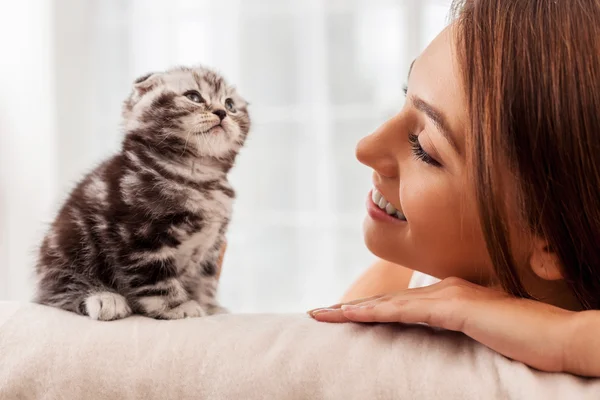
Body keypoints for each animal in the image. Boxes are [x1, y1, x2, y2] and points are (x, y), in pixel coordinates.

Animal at [34, 66, 250, 322]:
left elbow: (204, 280)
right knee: (56, 294)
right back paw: (103, 298)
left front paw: (209, 307)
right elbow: (156, 279)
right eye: (194, 97)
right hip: (69, 247)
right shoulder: (139, 237)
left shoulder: (211, 249)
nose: (221, 113)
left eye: (230, 104)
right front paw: (178, 306)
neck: (198, 178)